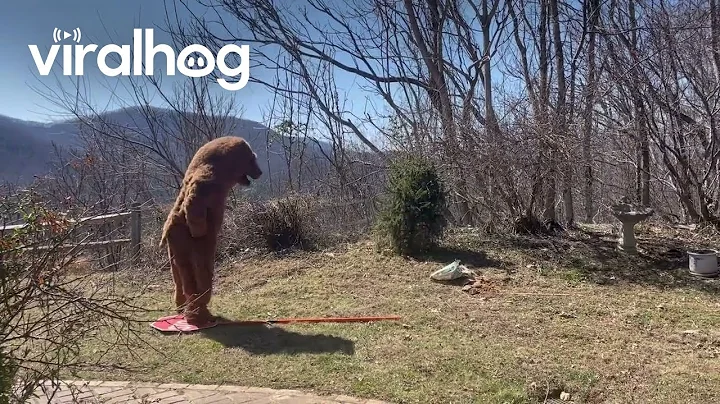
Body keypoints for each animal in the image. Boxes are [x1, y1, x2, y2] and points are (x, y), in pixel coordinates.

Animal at [159, 136, 263, 326]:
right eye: (252, 159)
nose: (260, 172)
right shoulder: (209, 181)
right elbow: (195, 199)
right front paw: (199, 229)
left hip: (175, 244)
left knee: (179, 275)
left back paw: (183, 308)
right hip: (188, 241)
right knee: (199, 273)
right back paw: (200, 316)